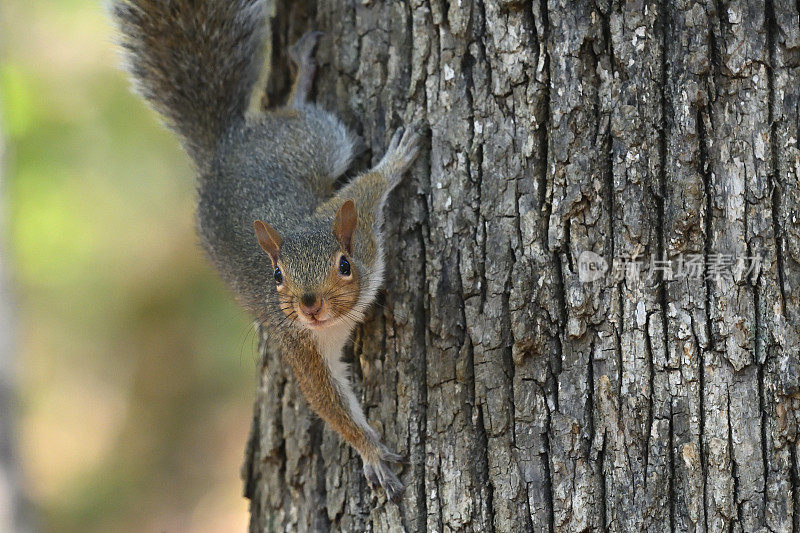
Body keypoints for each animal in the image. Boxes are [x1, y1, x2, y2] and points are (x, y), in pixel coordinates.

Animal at [114, 0, 424, 498]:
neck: (334, 321)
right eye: (277, 275)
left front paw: (394, 160)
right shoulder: (296, 344)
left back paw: (301, 75)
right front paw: (371, 453)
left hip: (312, 145)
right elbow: (328, 400)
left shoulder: (360, 231)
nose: (309, 305)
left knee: (303, 120)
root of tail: (222, 153)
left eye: (344, 265)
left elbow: (368, 186)